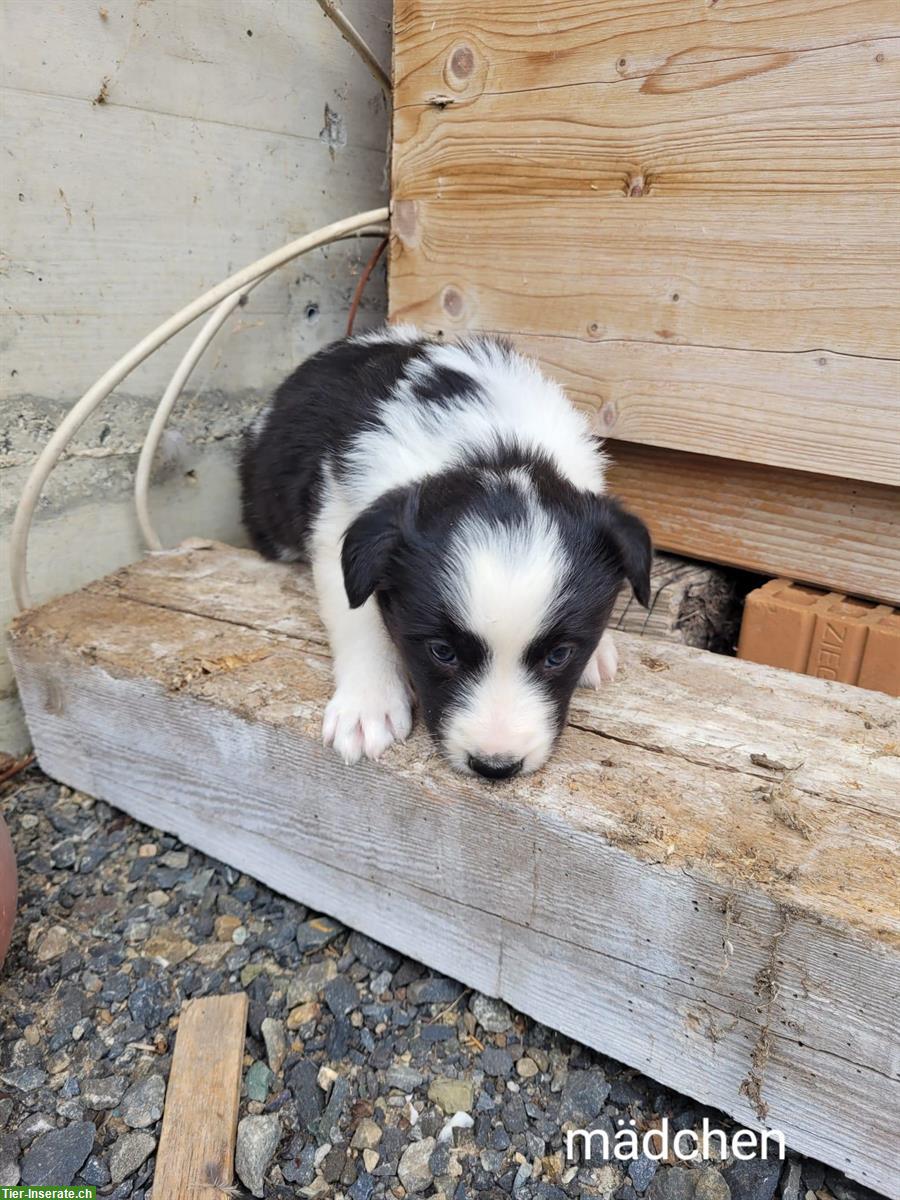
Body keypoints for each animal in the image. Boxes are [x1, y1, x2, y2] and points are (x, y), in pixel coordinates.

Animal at [237, 326, 648, 777]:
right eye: (442, 652)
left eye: (559, 656)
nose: (495, 767)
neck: (492, 449)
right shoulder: (337, 522)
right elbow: (357, 617)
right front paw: (369, 705)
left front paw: (598, 650)